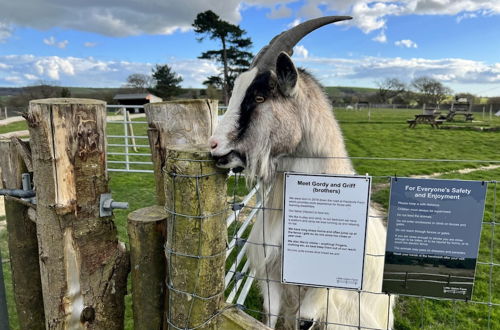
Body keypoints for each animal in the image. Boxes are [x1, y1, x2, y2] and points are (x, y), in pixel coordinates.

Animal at [209, 16, 392, 328]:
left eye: (260, 97)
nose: (213, 146)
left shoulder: (323, 294)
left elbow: (306, 320)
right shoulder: (272, 277)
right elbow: (269, 316)